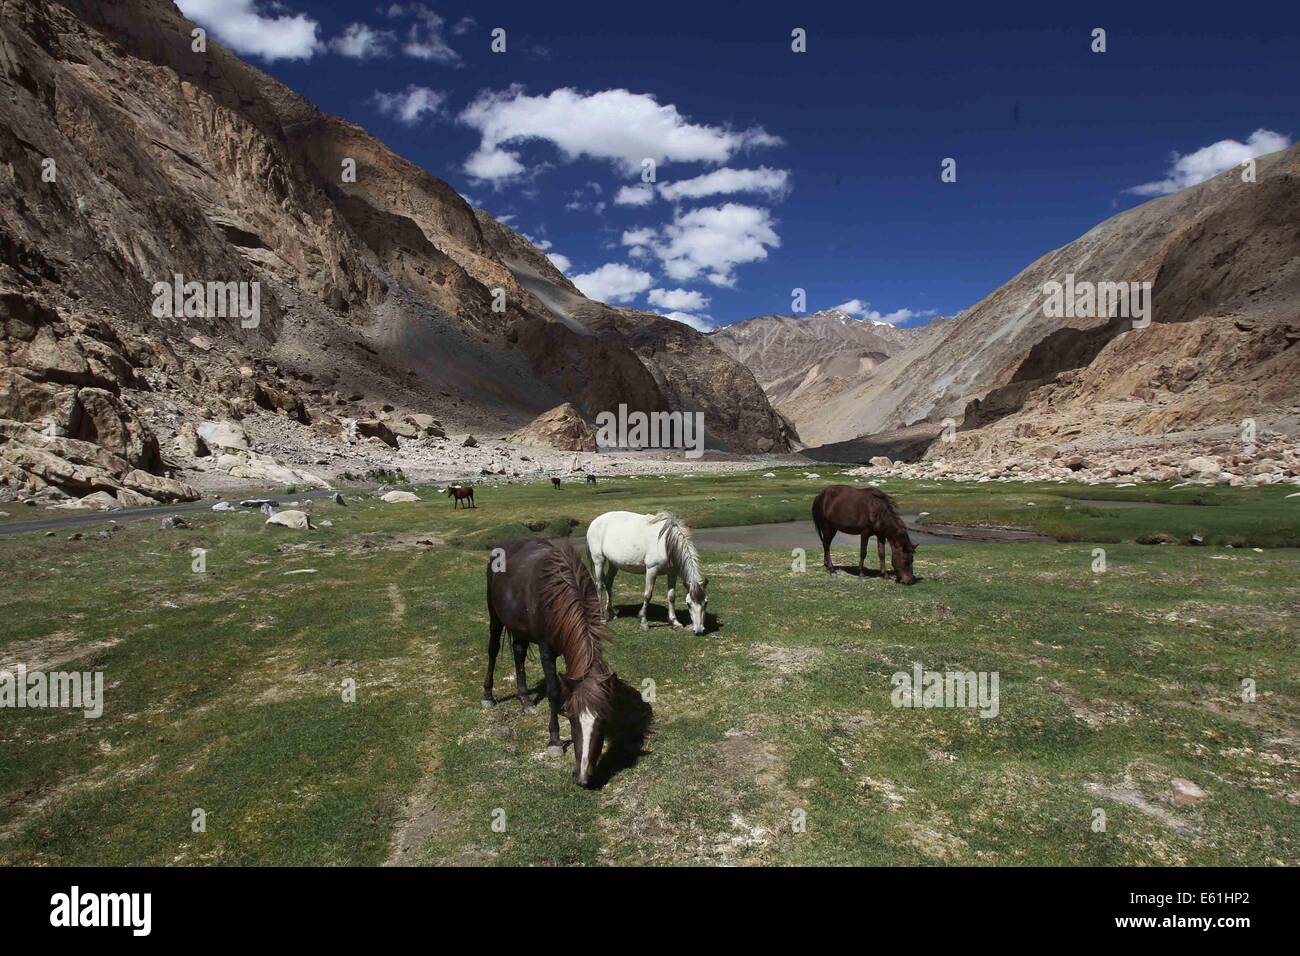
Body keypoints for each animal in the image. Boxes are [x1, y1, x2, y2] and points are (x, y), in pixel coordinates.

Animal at [486, 535, 616, 790]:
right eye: (574, 721)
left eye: (603, 722)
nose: (582, 777)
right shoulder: (546, 650)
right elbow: (554, 691)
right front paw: (555, 740)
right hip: (494, 616)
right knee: (493, 649)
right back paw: (487, 695)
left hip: (519, 628)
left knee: (518, 654)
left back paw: (525, 700)